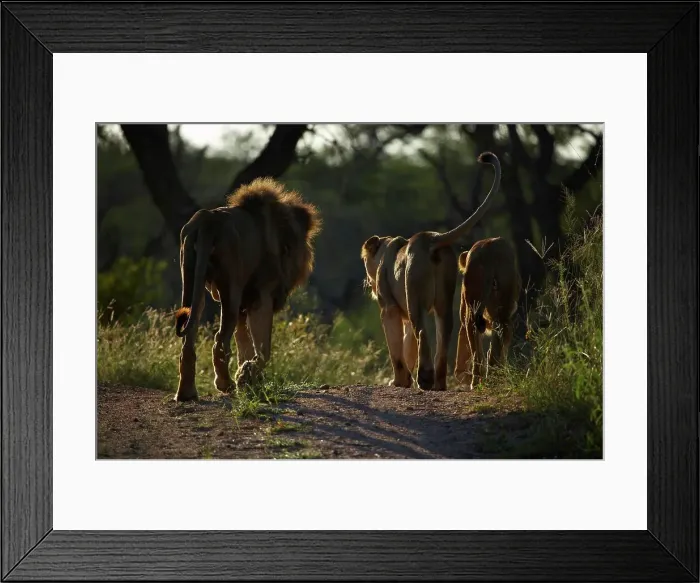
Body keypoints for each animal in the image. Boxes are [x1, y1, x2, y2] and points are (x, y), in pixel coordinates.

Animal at [173, 178, 321, 402]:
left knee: (189, 336)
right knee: (220, 340)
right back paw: (225, 384)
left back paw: (186, 393)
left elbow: (244, 343)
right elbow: (263, 349)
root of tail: (207, 220)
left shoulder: (246, 301)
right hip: (231, 289)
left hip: (191, 278)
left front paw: (246, 376)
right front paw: (245, 376)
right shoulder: (262, 295)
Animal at [361, 152, 501, 391]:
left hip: (415, 296)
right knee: (444, 335)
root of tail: (433, 238)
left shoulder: (389, 308)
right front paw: (406, 380)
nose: (366, 282)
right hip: (444, 299)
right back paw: (439, 383)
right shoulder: (404, 311)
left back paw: (425, 379)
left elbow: (397, 349)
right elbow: (407, 346)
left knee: (422, 332)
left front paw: (398, 381)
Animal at [454, 236, 521, 390]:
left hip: (474, 312)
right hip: (503, 315)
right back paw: (492, 380)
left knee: (478, 353)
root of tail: (490, 250)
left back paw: (478, 381)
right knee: (495, 349)